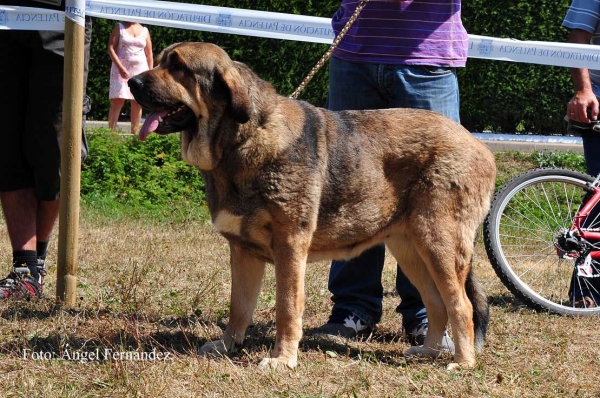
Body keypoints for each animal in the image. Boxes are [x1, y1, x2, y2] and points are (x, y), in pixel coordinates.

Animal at [130, 42, 496, 370]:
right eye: (161, 60)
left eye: (178, 66)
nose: (132, 82)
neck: (240, 141)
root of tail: (481, 147)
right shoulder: (243, 251)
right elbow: (239, 306)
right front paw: (228, 345)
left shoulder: (290, 247)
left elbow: (287, 308)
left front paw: (282, 359)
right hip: (410, 249)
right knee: (436, 303)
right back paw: (429, 351)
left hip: (438, 244)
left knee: (460, 305)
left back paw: (462, 363)